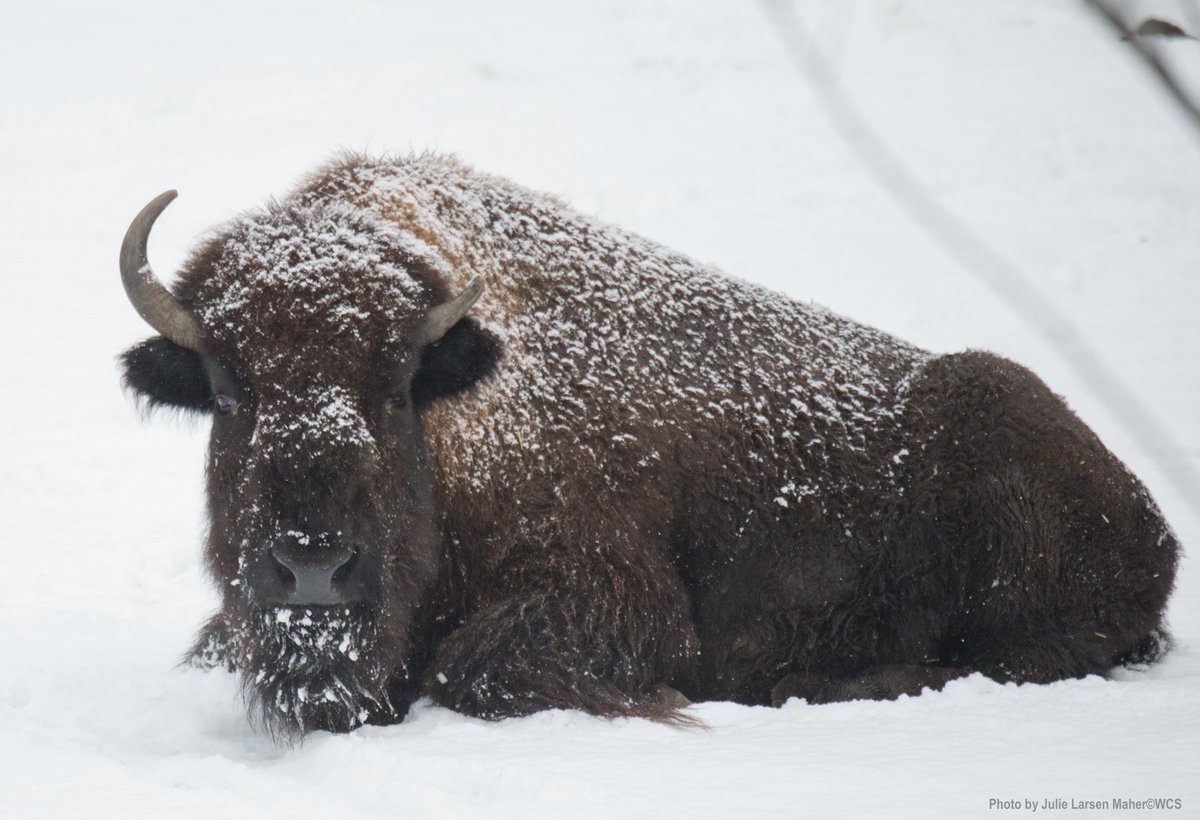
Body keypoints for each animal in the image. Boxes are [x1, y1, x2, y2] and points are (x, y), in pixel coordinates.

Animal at [119, 153, 1178, 737]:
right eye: (228, 389)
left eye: (393, 385)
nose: (312, 569)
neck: (459, 406)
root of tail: (1150, 523)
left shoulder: (613, 601)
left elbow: (473, 671)